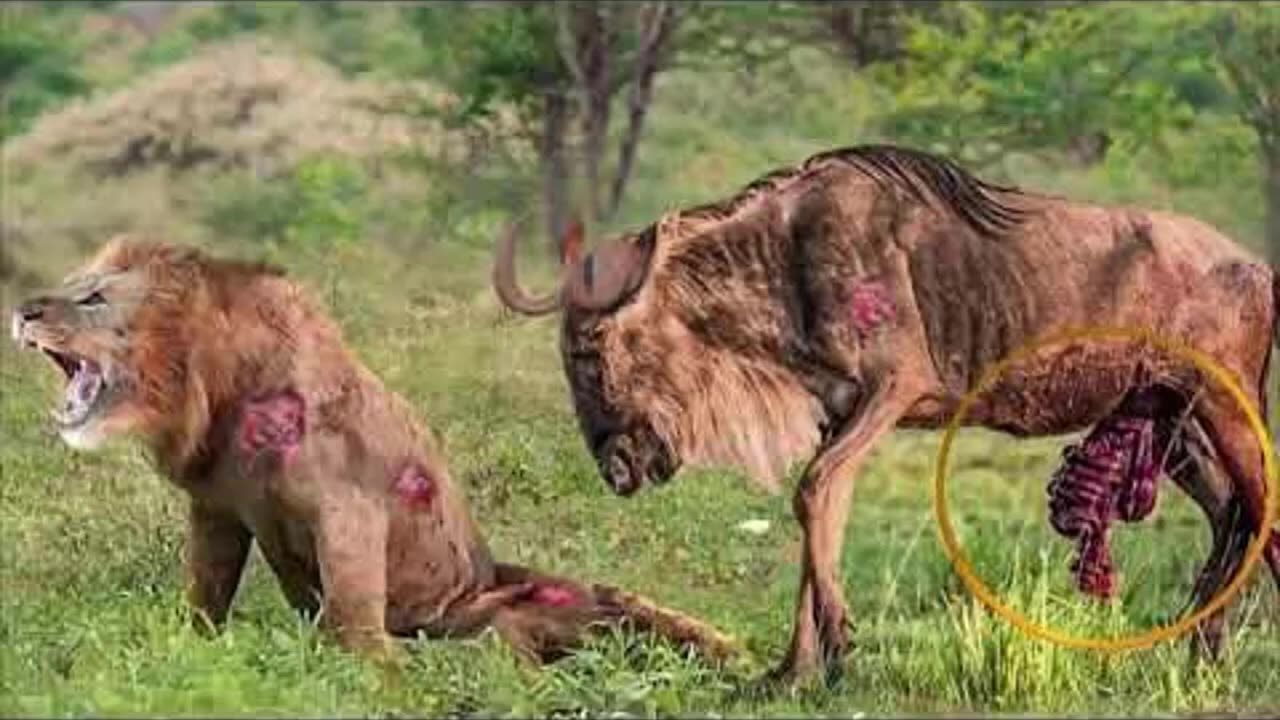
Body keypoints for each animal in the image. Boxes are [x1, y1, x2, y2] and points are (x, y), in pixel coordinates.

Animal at [12, 238, 742, 666]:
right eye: (75, 282)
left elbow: (351, 620)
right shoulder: (216, 509)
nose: (21, 311)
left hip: (508, 611)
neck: (223, 392)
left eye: (94, 297)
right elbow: (204, 593)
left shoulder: (348, 506)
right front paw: (186, 647)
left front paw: (368, 671)